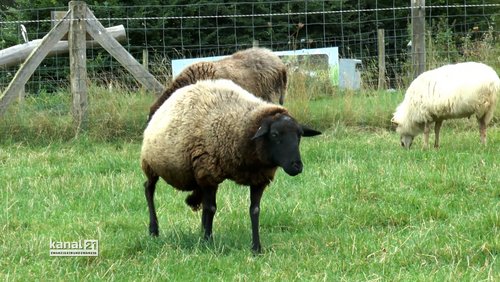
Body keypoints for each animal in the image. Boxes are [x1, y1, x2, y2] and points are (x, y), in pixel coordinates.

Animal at [141, 78, 320, 252]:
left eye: (300, 135)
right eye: (275, 135)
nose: (297, 166)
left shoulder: (258, 178)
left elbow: (254, 210)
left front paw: (256, 248)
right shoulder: (208, 173)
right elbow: (211, 208)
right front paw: (208, 242)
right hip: (150, 164)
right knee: (149, 188)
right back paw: (154, 230)